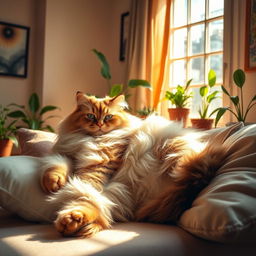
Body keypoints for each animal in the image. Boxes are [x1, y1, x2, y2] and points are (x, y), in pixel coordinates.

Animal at [40, 91, 226, 238]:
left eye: (108, 117)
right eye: (90, 116)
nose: (99, 124)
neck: (93, 140)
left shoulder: (101, 164)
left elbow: (83, 187)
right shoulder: (69, 154)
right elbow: (57, 166)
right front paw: (54, 183)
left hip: (174, 149)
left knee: (92, 202)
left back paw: (72, 220)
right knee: (103, 211)